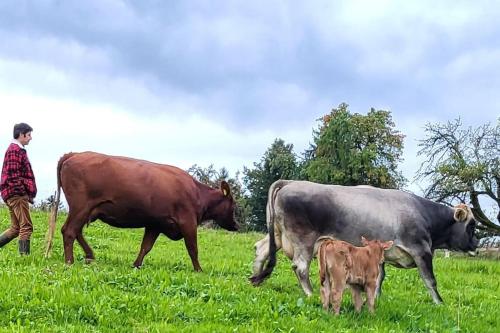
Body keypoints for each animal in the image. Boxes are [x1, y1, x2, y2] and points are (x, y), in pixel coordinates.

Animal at [45, 151, 238, 270]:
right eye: (233, 204)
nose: (236, 226)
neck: (197, 193)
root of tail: (74, 154)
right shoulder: (188, 222)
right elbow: (193, 248)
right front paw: (199, 270)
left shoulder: (155, 224)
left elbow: (146, 247)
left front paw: (136, 265)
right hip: (81, 206)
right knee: (69, 230)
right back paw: (69, 261)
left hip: (87, 210)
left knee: (75, 230)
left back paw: (89, 255)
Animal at [252, 180, 478, 302]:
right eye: (472, 225)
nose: (476, 245)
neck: (423, 213)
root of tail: (289, 182)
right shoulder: (421, 250)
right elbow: (430, 280)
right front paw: (440, 303)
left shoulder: (382, 254)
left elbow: (379, 279)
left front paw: (375, 299)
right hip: (303, 239)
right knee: (300, 266)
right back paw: (310, 293)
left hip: (277, 234)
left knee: (261, 249)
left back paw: (255, 279)